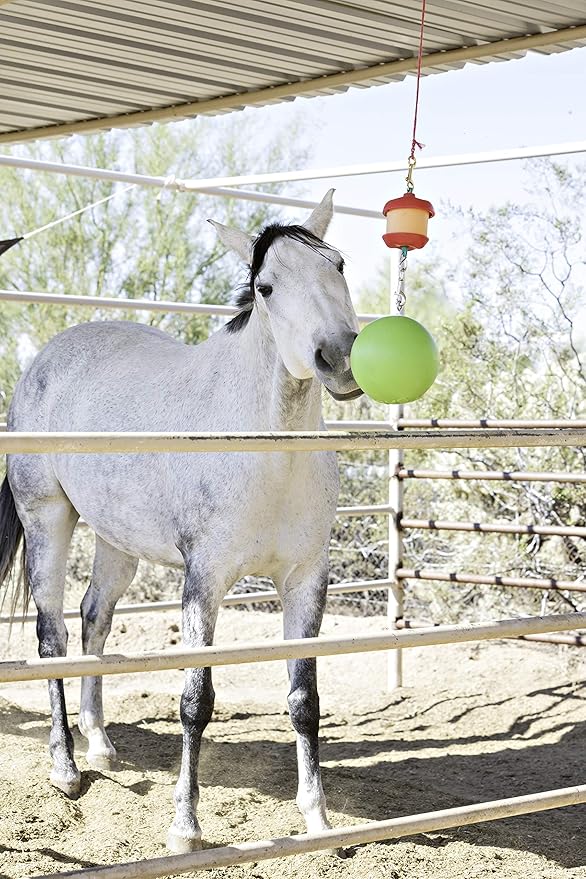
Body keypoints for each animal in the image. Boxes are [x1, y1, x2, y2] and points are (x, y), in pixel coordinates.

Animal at [0, 190, 362, 852]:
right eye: (266, 286)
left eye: (340, 264)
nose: (339, 357)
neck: (268, 452)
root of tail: (45, 359)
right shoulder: (204, 581)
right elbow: (196, 699)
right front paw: (185, 828)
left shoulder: (306, 580)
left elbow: (304, 700)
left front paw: (318, 821)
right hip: (48, 520)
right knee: (52, 635)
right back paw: (66, 768)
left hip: (116, 541)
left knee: (94, 619)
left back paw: (100, 745)